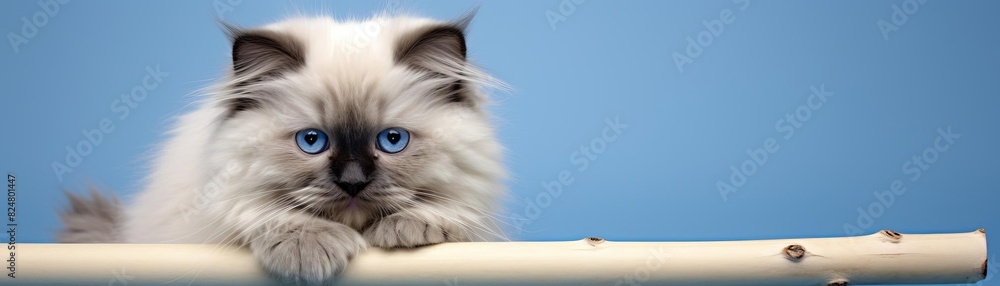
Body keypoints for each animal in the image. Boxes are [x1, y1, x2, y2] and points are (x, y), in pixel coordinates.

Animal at [56, 10, 508, 284]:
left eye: (391, 141)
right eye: (312, 141)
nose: (353, 182)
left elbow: (447, 207)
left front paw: (407, 229)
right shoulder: (227, 201)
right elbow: (272, 215)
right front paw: (312, 251)